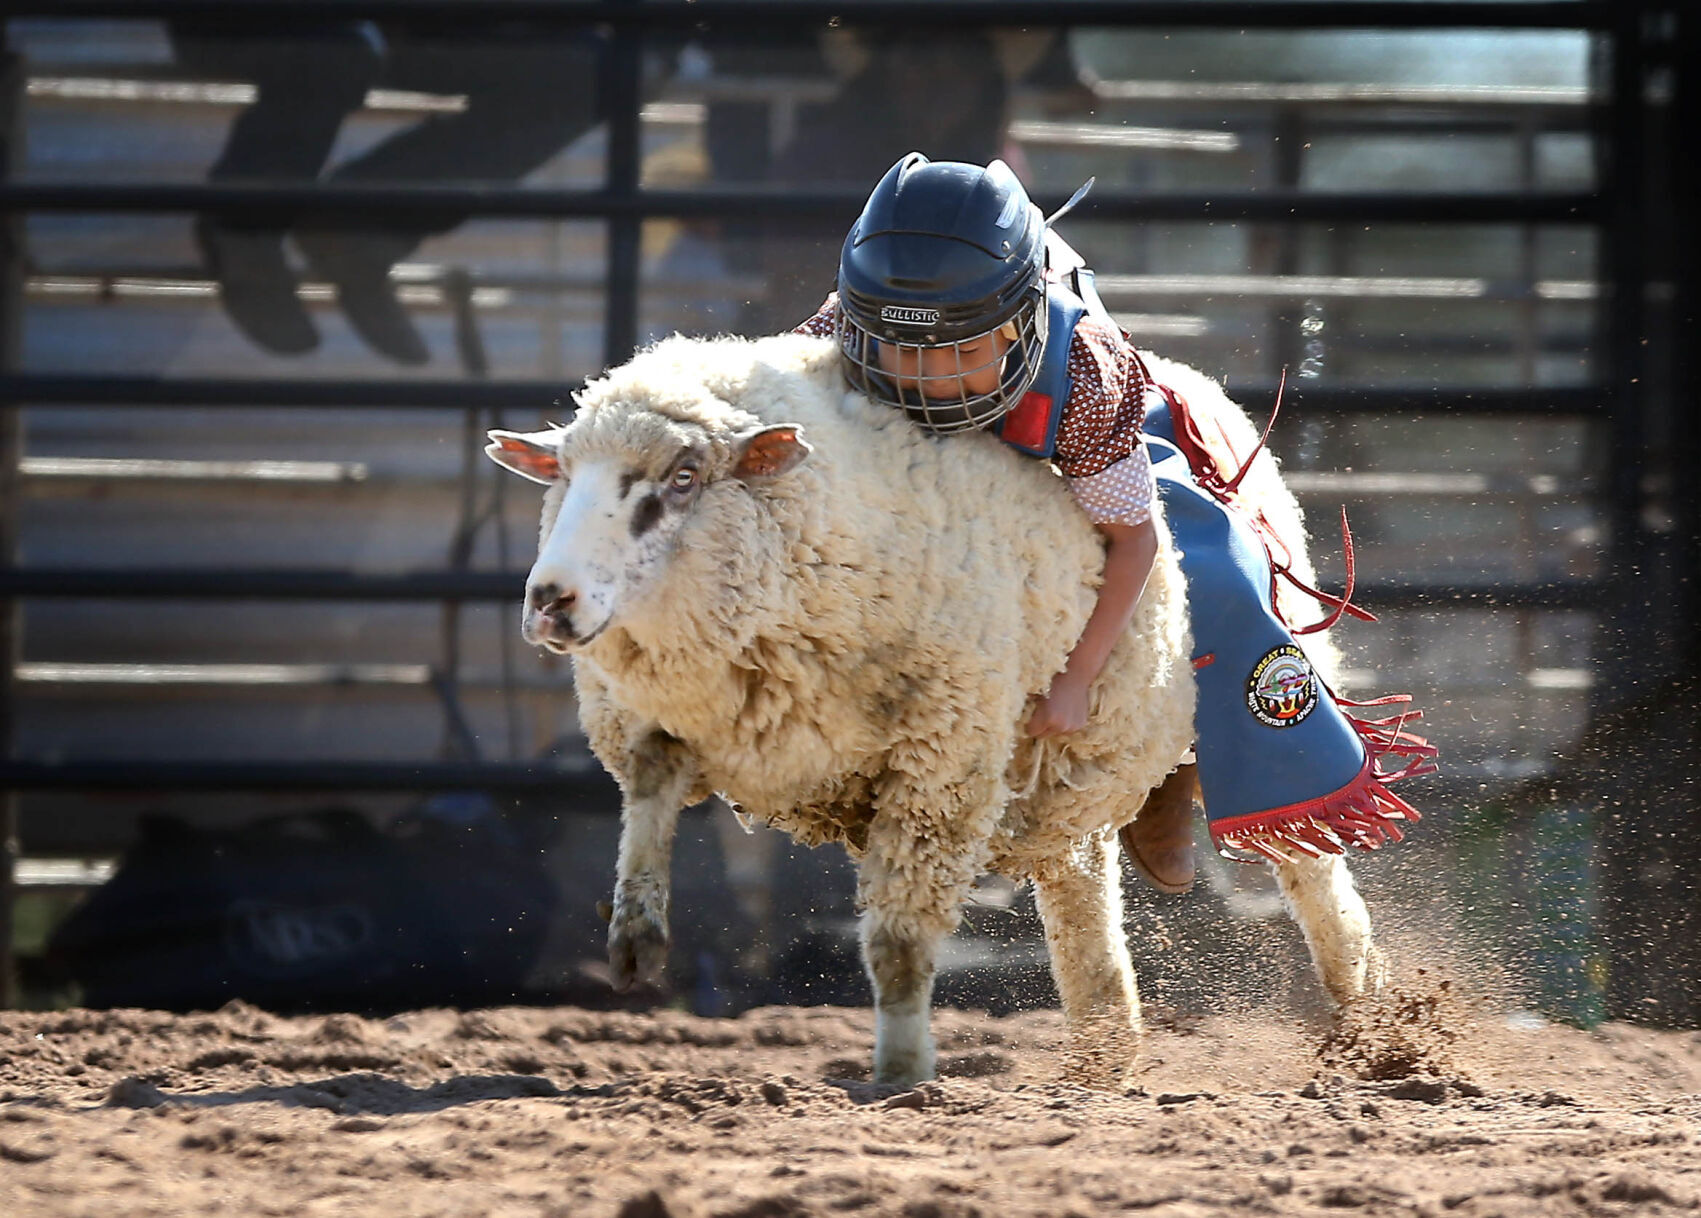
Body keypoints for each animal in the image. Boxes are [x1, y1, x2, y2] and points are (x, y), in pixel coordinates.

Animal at [483, 333, 1381, 1081]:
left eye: (681, 477)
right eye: (562, 476)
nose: (550, 602)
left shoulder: (941, 766)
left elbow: (899, 944)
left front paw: (903, 1073)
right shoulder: (682, 719)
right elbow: (650, 787)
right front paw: (635, 933)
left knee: (1308, 864)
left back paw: (1369, 1020)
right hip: (1063, 767)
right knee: (1080, 882)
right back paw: (1105, 1046)